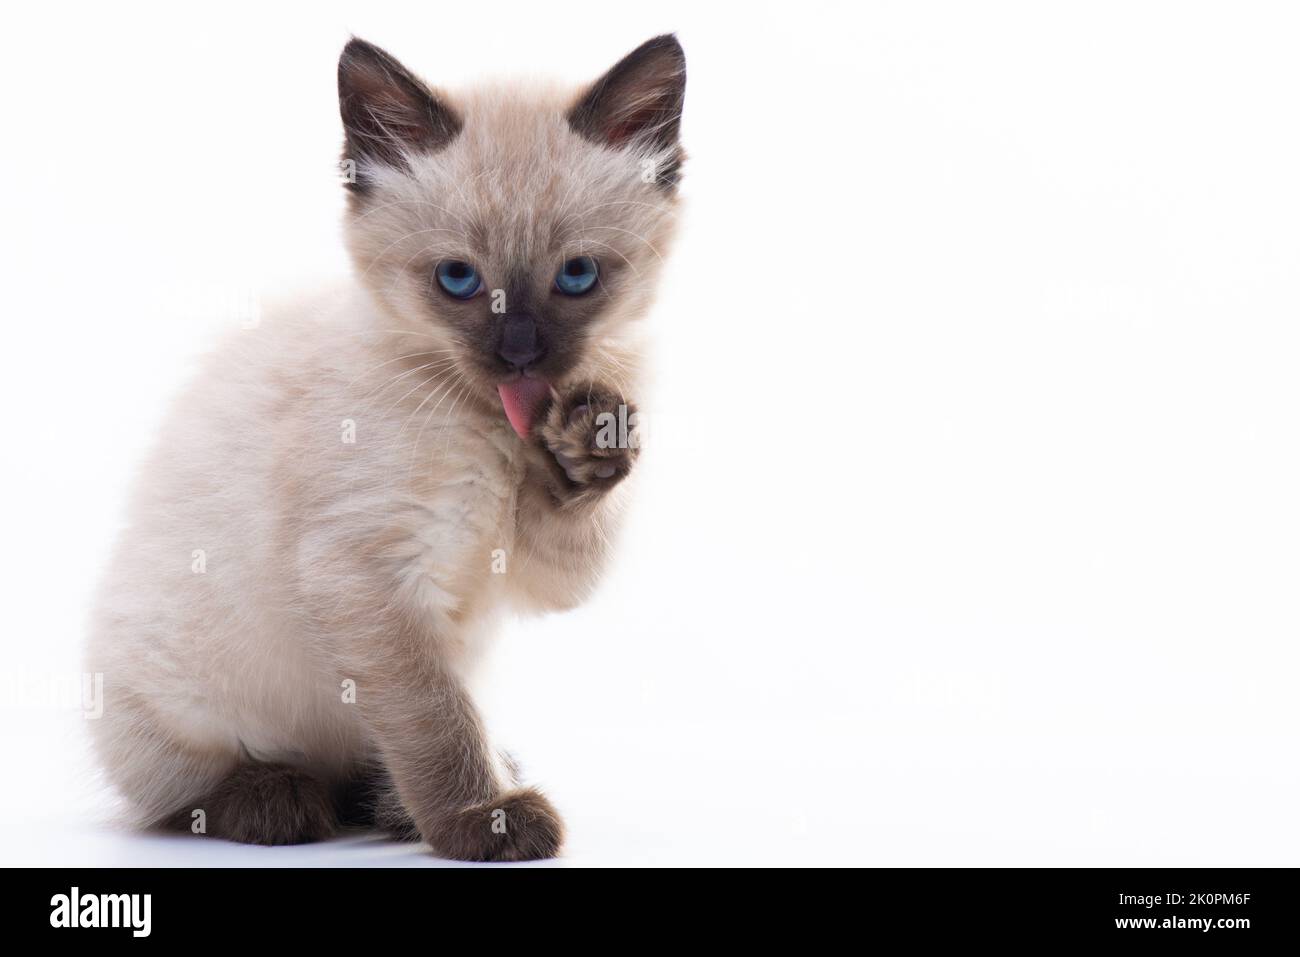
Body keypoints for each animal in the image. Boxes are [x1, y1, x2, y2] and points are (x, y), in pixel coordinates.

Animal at [85, 35, 686, 858]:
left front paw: (587, 439)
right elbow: (437, 721)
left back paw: (402, 803)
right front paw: (485, 820)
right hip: (181, 695)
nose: (521, 356)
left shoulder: (536, 577)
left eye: (578, 275)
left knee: (373, 760)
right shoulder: (368, 575)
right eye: (458, 279)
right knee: (182, 794)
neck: (492, 425)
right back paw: (277, 801)